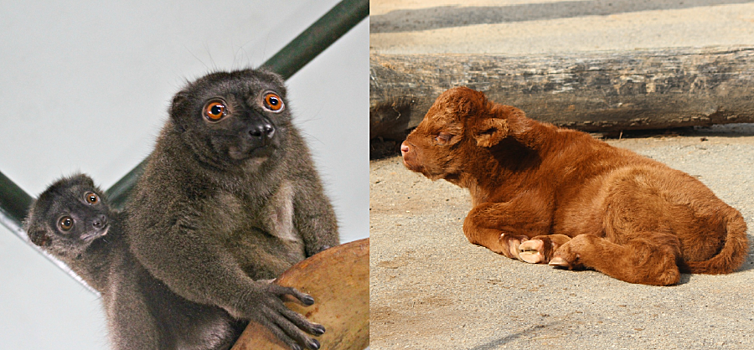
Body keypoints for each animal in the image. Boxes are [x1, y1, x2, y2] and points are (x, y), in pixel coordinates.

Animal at [400, 86, 748, 286]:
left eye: (444, 134)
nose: (404, 148)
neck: (517, 153)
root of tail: (729, 212)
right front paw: (523, 245)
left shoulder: (533, 209)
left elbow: (471, 221)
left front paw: (513, 243)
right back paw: (550, 246)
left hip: (626, 193)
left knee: (655, 262)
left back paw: (568, 251)